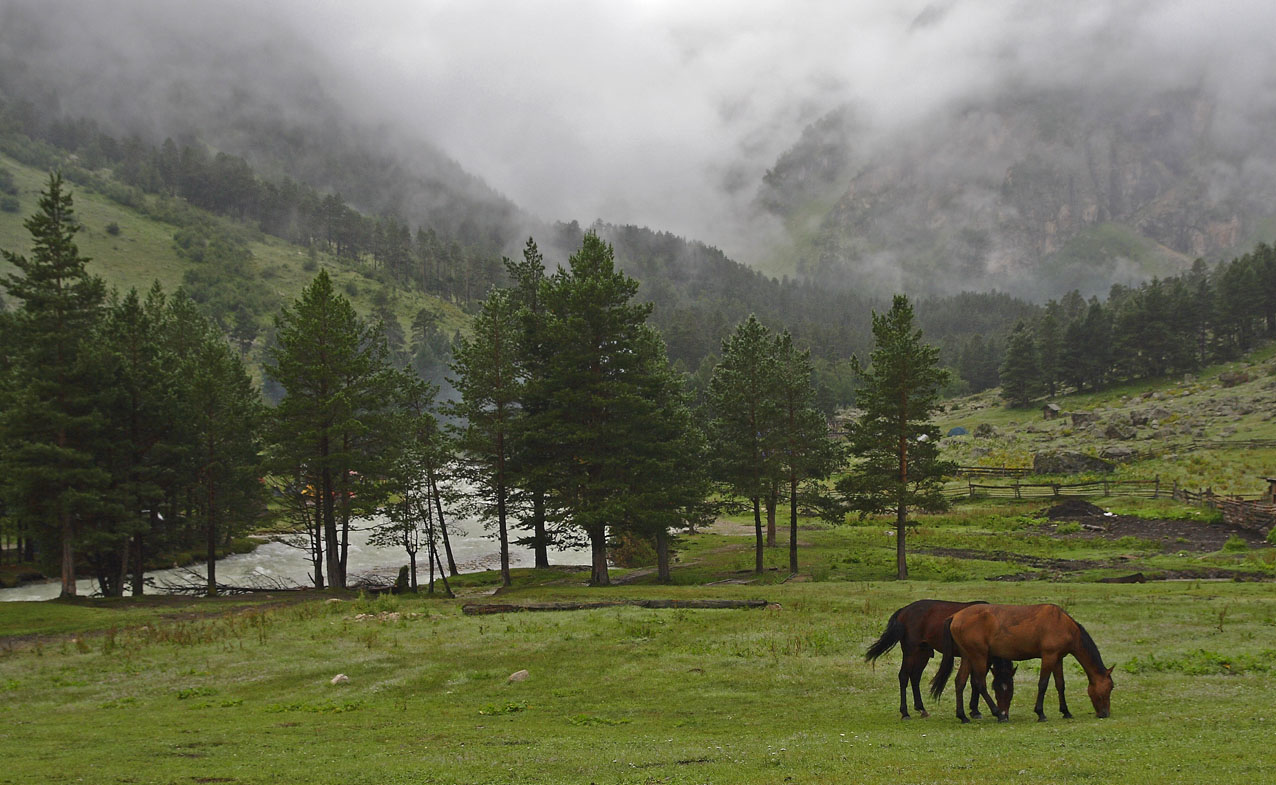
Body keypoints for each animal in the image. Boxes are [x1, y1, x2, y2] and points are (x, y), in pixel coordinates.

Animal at [867, 602, 1015, 725]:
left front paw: (974, 710)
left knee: (915, 677)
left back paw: (921, 709)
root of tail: (904, 610)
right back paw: (905, 713)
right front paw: (975, 711)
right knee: (903, 676)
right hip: (911, 652)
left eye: (1011, 690)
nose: (1005, 713)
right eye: (997, 689)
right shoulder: (980, 657)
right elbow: (976, 681)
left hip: (923, 652)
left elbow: (974, 681)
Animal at [928, 607, 1117, 725]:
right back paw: (998, 714)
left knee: (960, 682)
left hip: (968, 656)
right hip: (979, 656)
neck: (1063, 625)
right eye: (1109, 688)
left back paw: (963, 716)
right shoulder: (1048, 657)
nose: (1105, 713)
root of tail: (955, 617)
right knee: (980, 683)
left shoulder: (1058, 659)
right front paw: (1040, 713)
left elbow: (1060, 685)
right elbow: (1043, 684)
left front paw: (1066, 711)